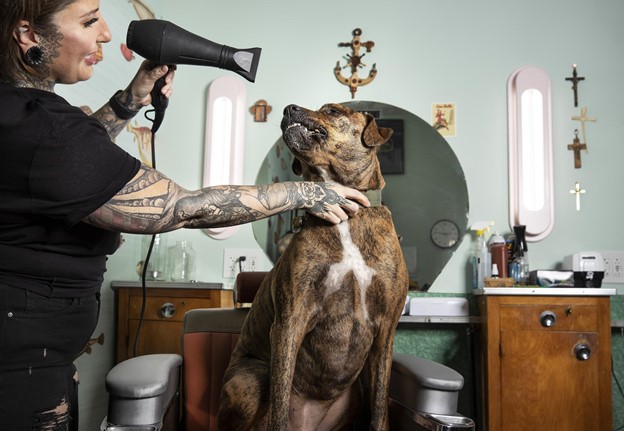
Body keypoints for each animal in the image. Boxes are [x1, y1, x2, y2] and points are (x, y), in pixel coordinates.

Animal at [216, 103, 410, 430]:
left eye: (332, 111)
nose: (288, 108)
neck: (346, 214)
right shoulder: (290, 321)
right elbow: (280, 402)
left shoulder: (385, 332)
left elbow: (380, 407)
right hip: (251, 378)